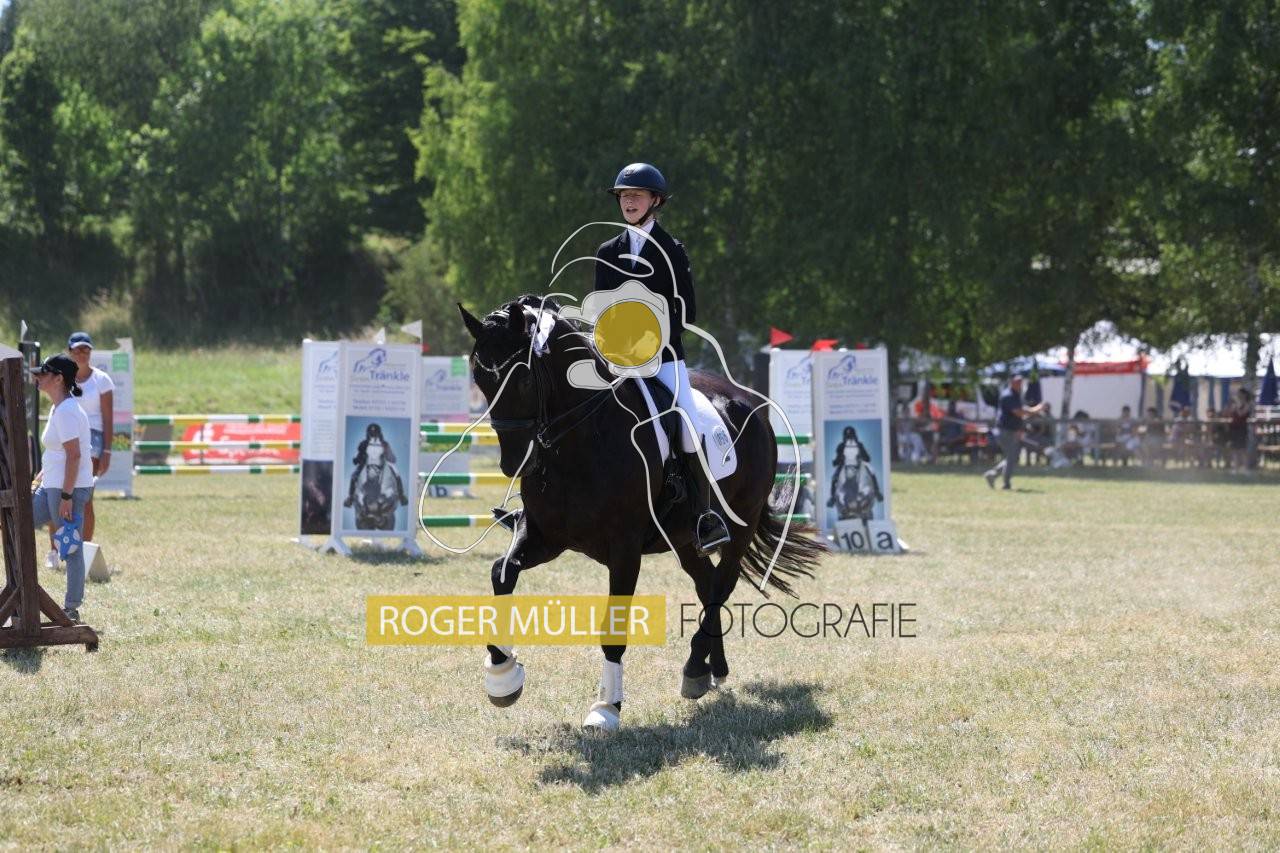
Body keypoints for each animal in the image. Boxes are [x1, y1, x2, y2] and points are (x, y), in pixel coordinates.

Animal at [458, 296, 825, 733]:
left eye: (525, 381)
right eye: (479, 379)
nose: (516, 464)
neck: (583, 439)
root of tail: (750, 402)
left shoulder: (624, 549)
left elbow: (613, 628)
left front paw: (606, 708)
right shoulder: (546, 538)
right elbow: (502, 572)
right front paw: (502, 675)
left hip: (740, 525)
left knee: (722, 584)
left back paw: (694, 667)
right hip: (683, 539)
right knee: (706, 585)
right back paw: (711, 670)